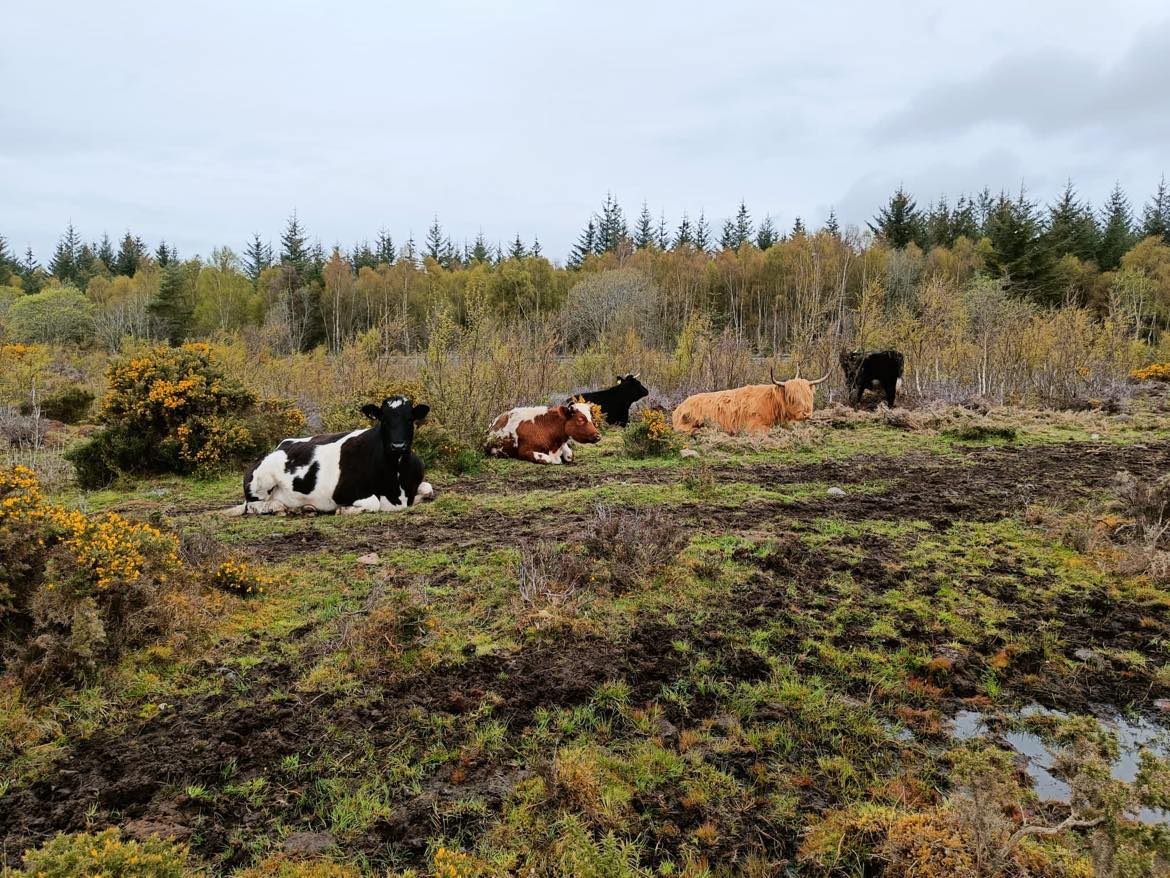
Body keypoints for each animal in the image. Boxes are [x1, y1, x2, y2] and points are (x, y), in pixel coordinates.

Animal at [225, 398, 432, 515]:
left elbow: (429, 490)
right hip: (261, 480)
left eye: (410, 419)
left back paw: (303, 508)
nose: (398, 446)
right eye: (384, 419)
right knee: (252, 505)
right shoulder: (342, 492)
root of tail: (280, 444)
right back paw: (278, 507)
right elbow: (373, 502)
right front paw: (345, 510)